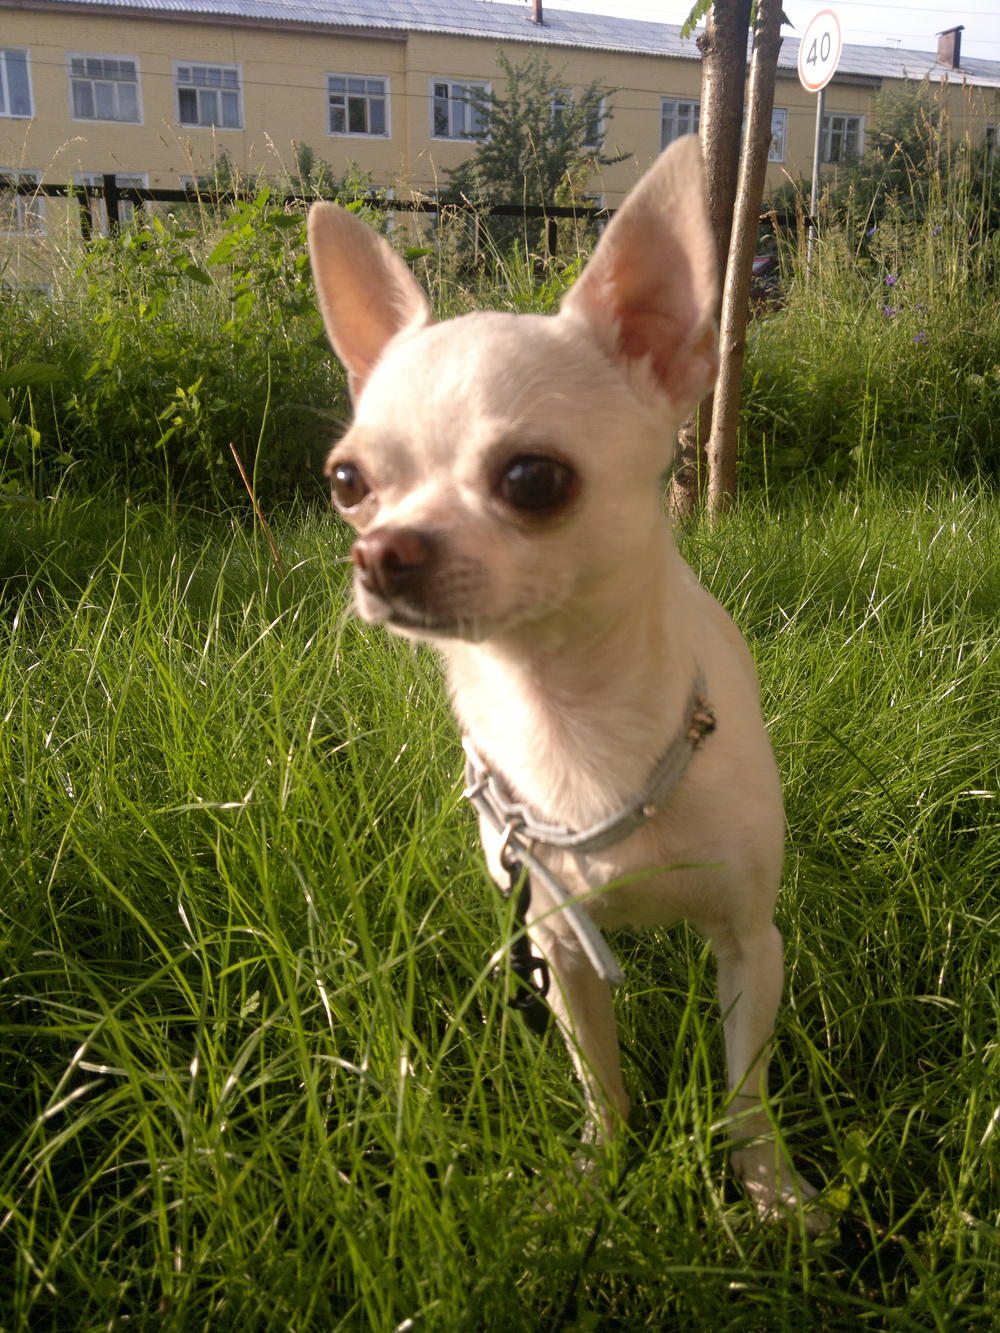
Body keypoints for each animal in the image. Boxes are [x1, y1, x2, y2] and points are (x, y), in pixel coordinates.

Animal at [307, 135, 823, 1228]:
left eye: (532, 479)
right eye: (347, 483)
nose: (379, 552)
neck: (569, 711)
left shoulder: (751, 943)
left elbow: (745, 1090)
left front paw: (771, 1191)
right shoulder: (555, 950)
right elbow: (602, 1080)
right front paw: (599, 1171)